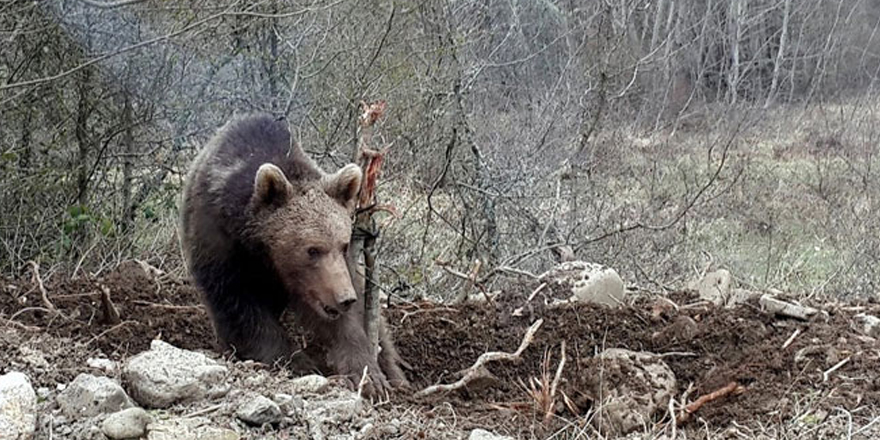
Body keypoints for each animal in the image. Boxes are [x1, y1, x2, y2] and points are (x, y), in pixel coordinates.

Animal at [180, 113, 412, 396]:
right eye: (312, 249)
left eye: (343, 245)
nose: (345, 298)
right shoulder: (220, 243)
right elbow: (239, 307)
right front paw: (297, 362)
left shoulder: (331, 276)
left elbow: (344, 322)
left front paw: (368, 376)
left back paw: (396, 375)